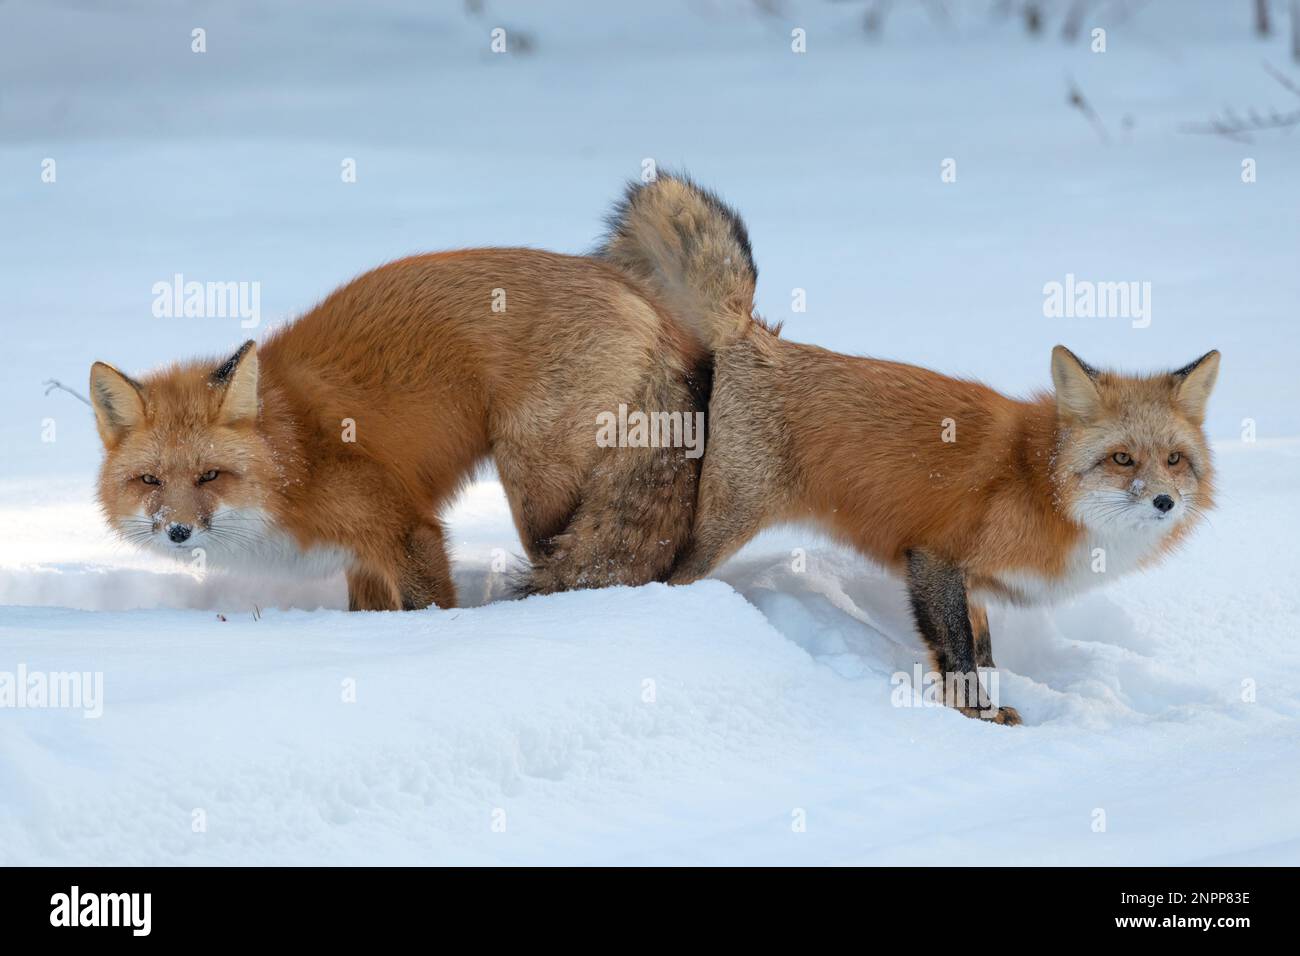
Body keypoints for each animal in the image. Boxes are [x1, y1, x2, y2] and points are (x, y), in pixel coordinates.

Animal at [89, 248, 709, 610]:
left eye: (211, 476)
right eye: (149, 481)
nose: (178, 532)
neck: (296, 458)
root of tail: (648, 301)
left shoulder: (403, 528)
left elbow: (426, 604)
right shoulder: (363, 558)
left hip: (538, 490)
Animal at [598, 174, 1220, 725]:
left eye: (1174, 460)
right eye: (1122, 458)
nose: (1164, 502)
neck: (1040, 483)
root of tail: (755, 336)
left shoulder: (972, 582)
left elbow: (984, 653)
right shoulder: (936, 558)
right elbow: (960, 658)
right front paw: (979, 720)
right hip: (721, 529)